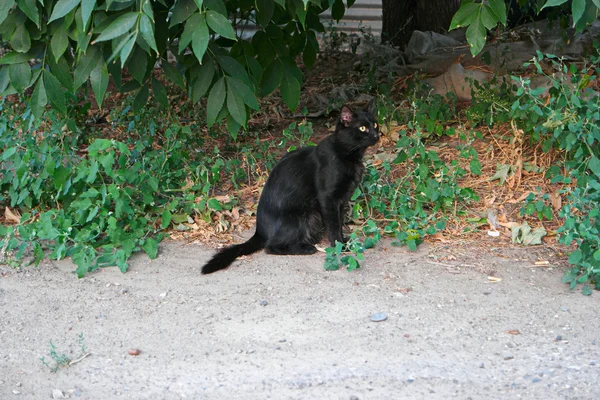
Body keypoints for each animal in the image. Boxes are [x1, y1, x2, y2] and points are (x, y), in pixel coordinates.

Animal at [203, 101, 380, 276]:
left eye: (375, 124)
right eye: (362, 128)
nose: (376, 135)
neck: (346, 153)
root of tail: (260, 231)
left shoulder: (341, 200)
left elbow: (339, 221)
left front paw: (343, 241)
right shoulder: (328, 198)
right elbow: (334, 225)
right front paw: (339, 246)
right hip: (303, 216)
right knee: (271, 246)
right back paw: (306, 248)